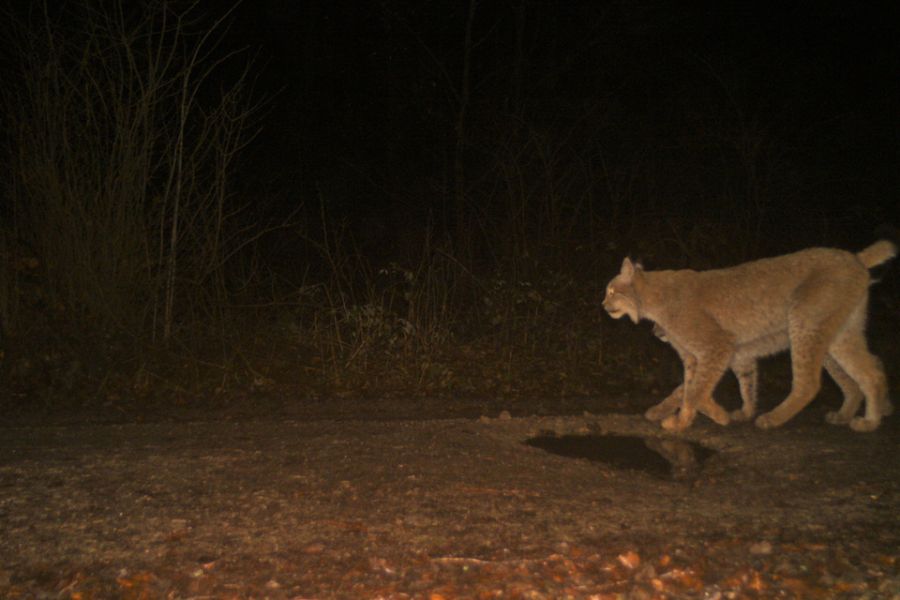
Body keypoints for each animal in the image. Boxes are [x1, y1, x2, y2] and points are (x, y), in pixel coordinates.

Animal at [604, 241, 892, 434]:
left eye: (611, 291)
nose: (603, 305)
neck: (652, 299)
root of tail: (853, 256)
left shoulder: (717, 346)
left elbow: (694, 390)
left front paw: (704, 418)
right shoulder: (708, 355)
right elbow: (695, 388)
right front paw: (695, 417)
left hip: (804, 322)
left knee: (809, 382)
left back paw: (773, 418)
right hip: (841, 335)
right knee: (872, 371)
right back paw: (868, 421)